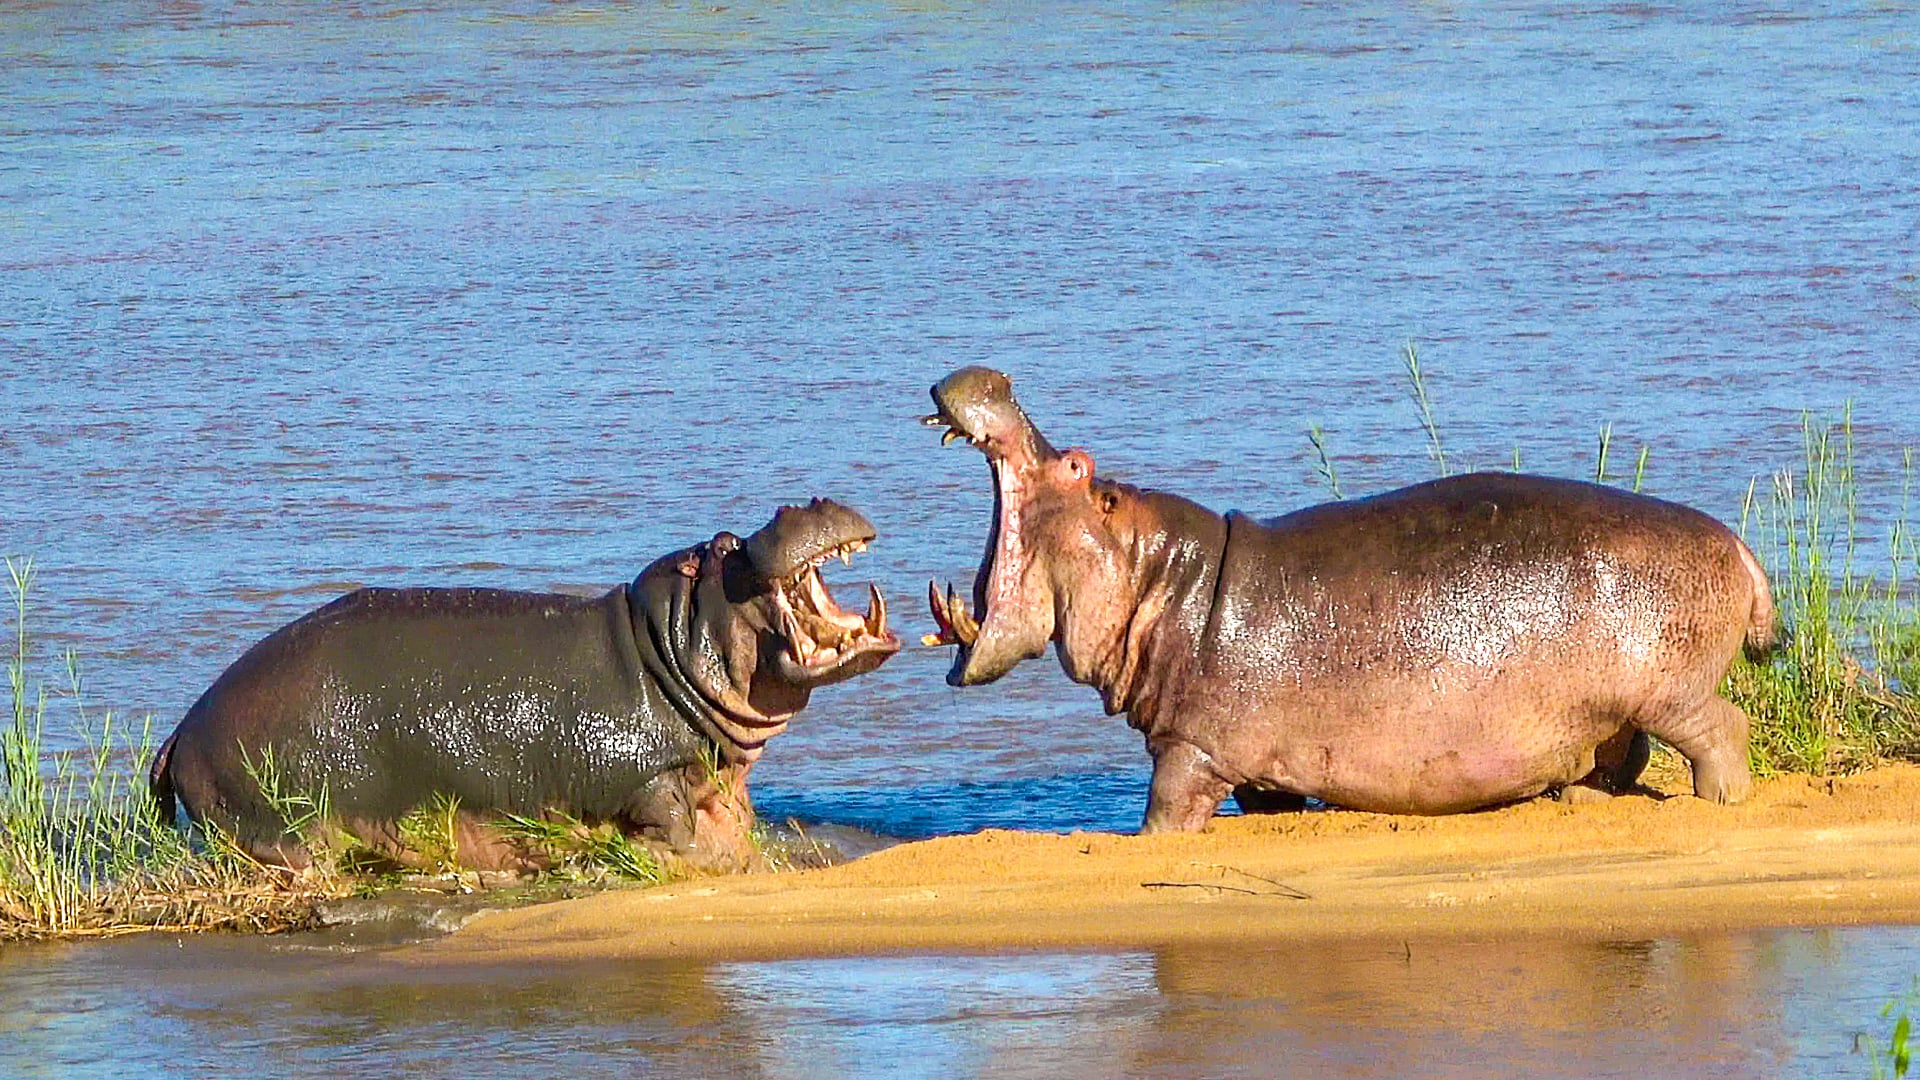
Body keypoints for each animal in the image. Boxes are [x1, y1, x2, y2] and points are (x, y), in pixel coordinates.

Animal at [151, 499, 899, 870]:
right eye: (720, 548)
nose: (808, 500)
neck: (665, 652)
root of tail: (183, 728)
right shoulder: (648, 781)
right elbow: (674, 834)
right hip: (284, 829)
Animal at [920, 367, 1773, 832]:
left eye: (1075, 463)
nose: (997, 378)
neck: (1162, 580)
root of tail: (1735, 544)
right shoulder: (1257, 767)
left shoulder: (1190, 748)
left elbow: (1162, 816)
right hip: (1613, 713)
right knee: (1621, 760)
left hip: (1668, 690)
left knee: (1722, 731)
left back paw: (1723, 805)